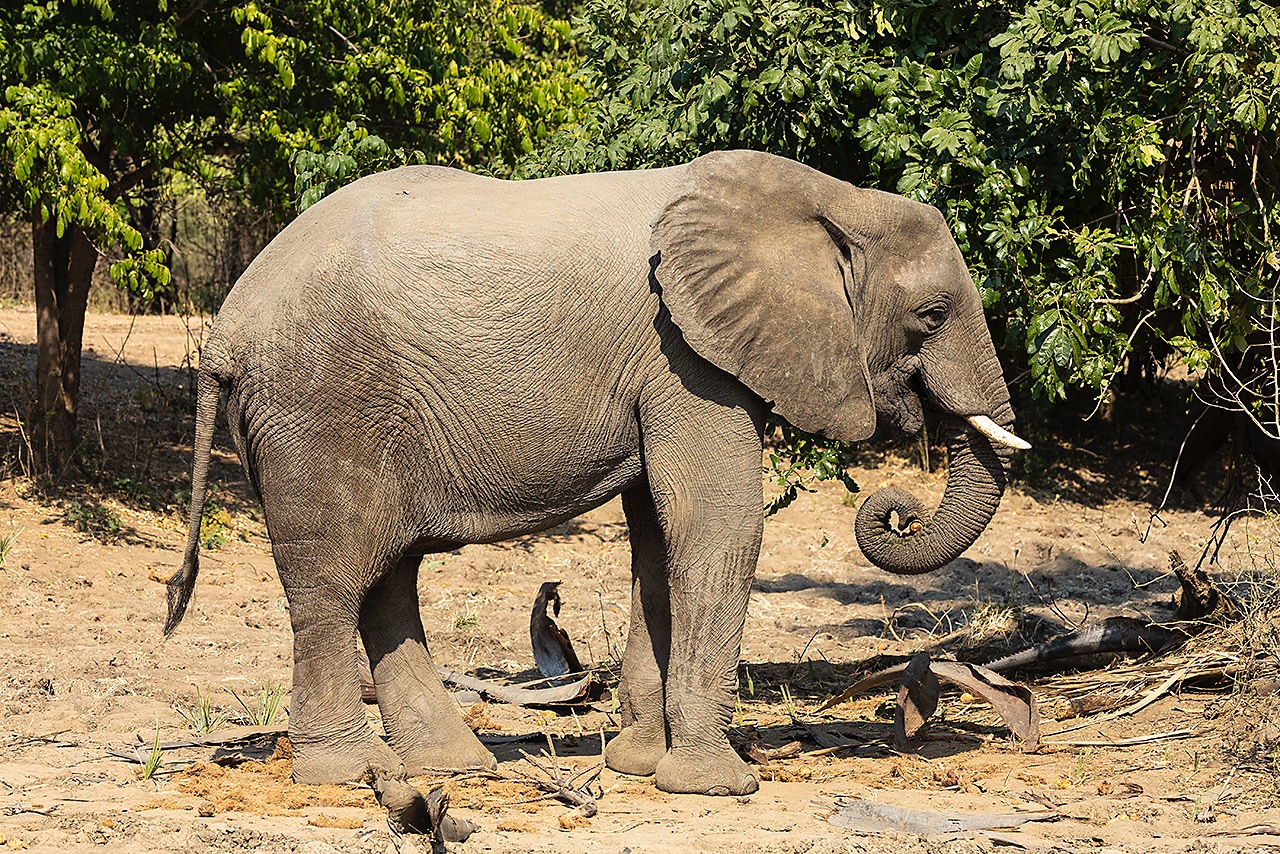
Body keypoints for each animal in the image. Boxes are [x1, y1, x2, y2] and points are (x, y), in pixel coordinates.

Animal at [164, 149, 1029, 797]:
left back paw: (453, 766)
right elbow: (716, 526)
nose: (898, 509)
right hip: (319, 411)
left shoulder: (672, 366)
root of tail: (224, 330)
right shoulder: (685, 355)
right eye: (932, 317)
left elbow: (657, 540)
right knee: (334, 583)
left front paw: (638, 765)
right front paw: (717, 784)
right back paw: (347, 772)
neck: (829, 200)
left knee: (386, 579)